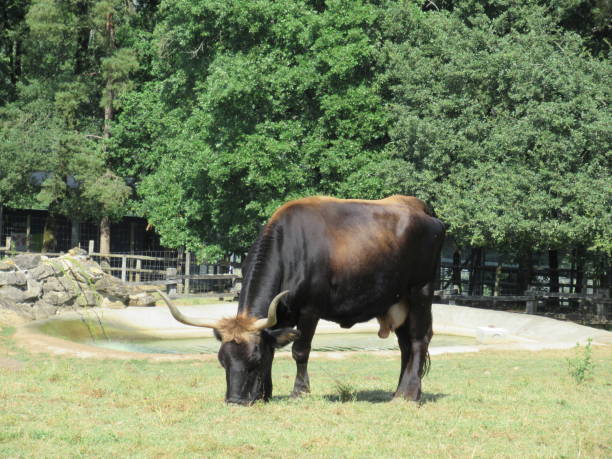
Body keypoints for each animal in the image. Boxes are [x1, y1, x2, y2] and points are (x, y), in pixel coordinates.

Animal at [159, 196, 444, 404]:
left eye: (253, 360)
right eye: (223, 360)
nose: (235, 401)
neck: (289, 248)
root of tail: (422, 210)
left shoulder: (310, 311)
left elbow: (300, 350)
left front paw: (299, 391)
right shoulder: (278, 316)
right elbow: (273, 349)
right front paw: (265, 393)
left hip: (420, 293)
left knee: (419, 341)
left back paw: (410, 395)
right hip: (397, 303)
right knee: (406, 346)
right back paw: (400, 391)